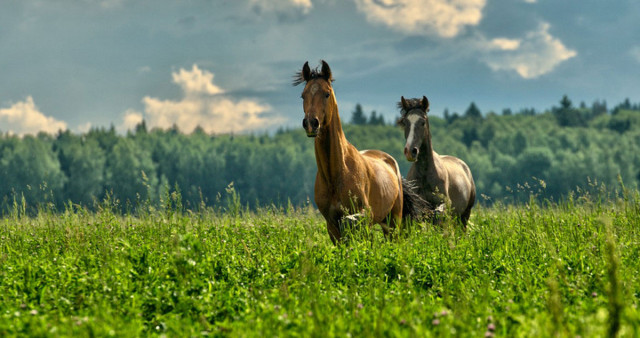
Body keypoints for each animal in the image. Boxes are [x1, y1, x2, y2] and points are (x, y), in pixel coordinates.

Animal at [292, 60, 422, 244]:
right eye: (303, 95)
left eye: (326, 94)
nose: (311, 123)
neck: (336, 174)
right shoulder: (332, 226)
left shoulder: (362, 219)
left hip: (393, 220)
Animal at [400, 96, 476, 226]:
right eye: (405, 122)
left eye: (423, 122)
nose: (410, 151)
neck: (425, 174)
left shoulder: (444, 204)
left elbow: (439, 213)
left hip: (464, 216)